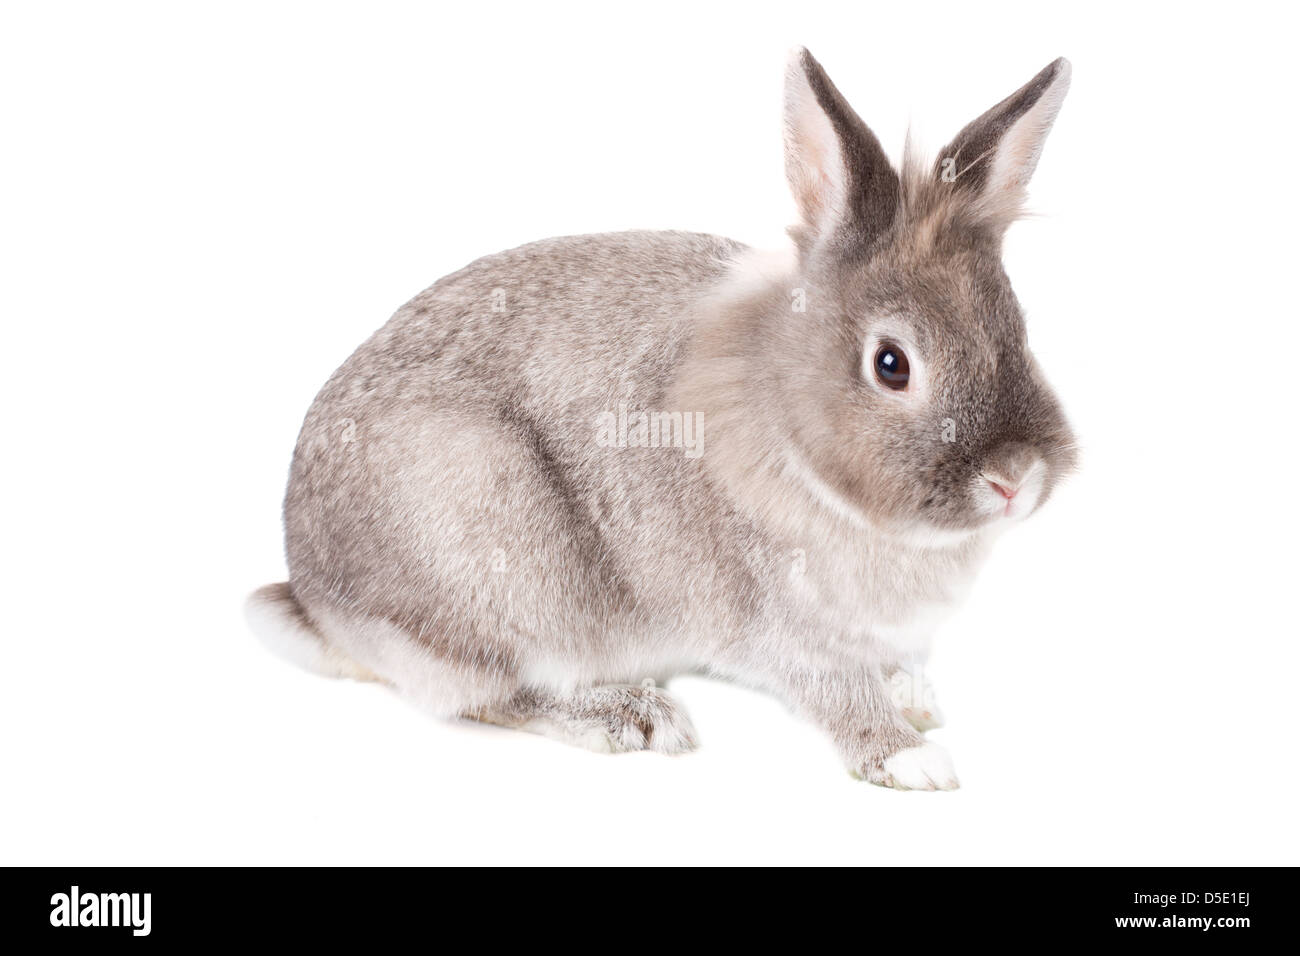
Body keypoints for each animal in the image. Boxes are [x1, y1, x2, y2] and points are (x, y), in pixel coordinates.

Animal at [246, 48, 1076, 790]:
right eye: (891, 363)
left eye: (1018, 331)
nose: (1015, 479)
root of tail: (316, 600)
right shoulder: (778, 622)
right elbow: (834, 688)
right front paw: (908, 756)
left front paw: (914, 696)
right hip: (489, 537)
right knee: (494, 692)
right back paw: (632, 716)